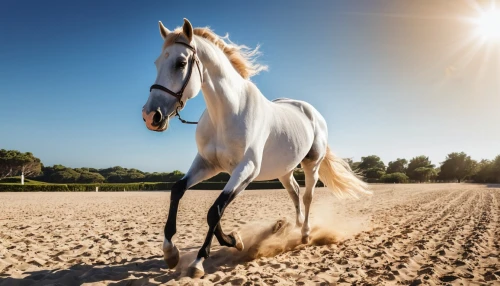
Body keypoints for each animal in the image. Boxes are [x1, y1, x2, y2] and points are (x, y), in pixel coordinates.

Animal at [143, 19, 370, 278]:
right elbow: (179, 191)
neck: (227, 113)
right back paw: (292, 227)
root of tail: (312, 112)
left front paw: (202, 259)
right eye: (157, 62)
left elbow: (215, 210)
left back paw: (304, 233)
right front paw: (172, 253)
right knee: (295, 192)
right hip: (284, 171)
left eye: (180, 63)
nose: (151, 116)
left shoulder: (247, 170)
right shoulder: (208, 164)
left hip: (312, 164)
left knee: (308, 196)